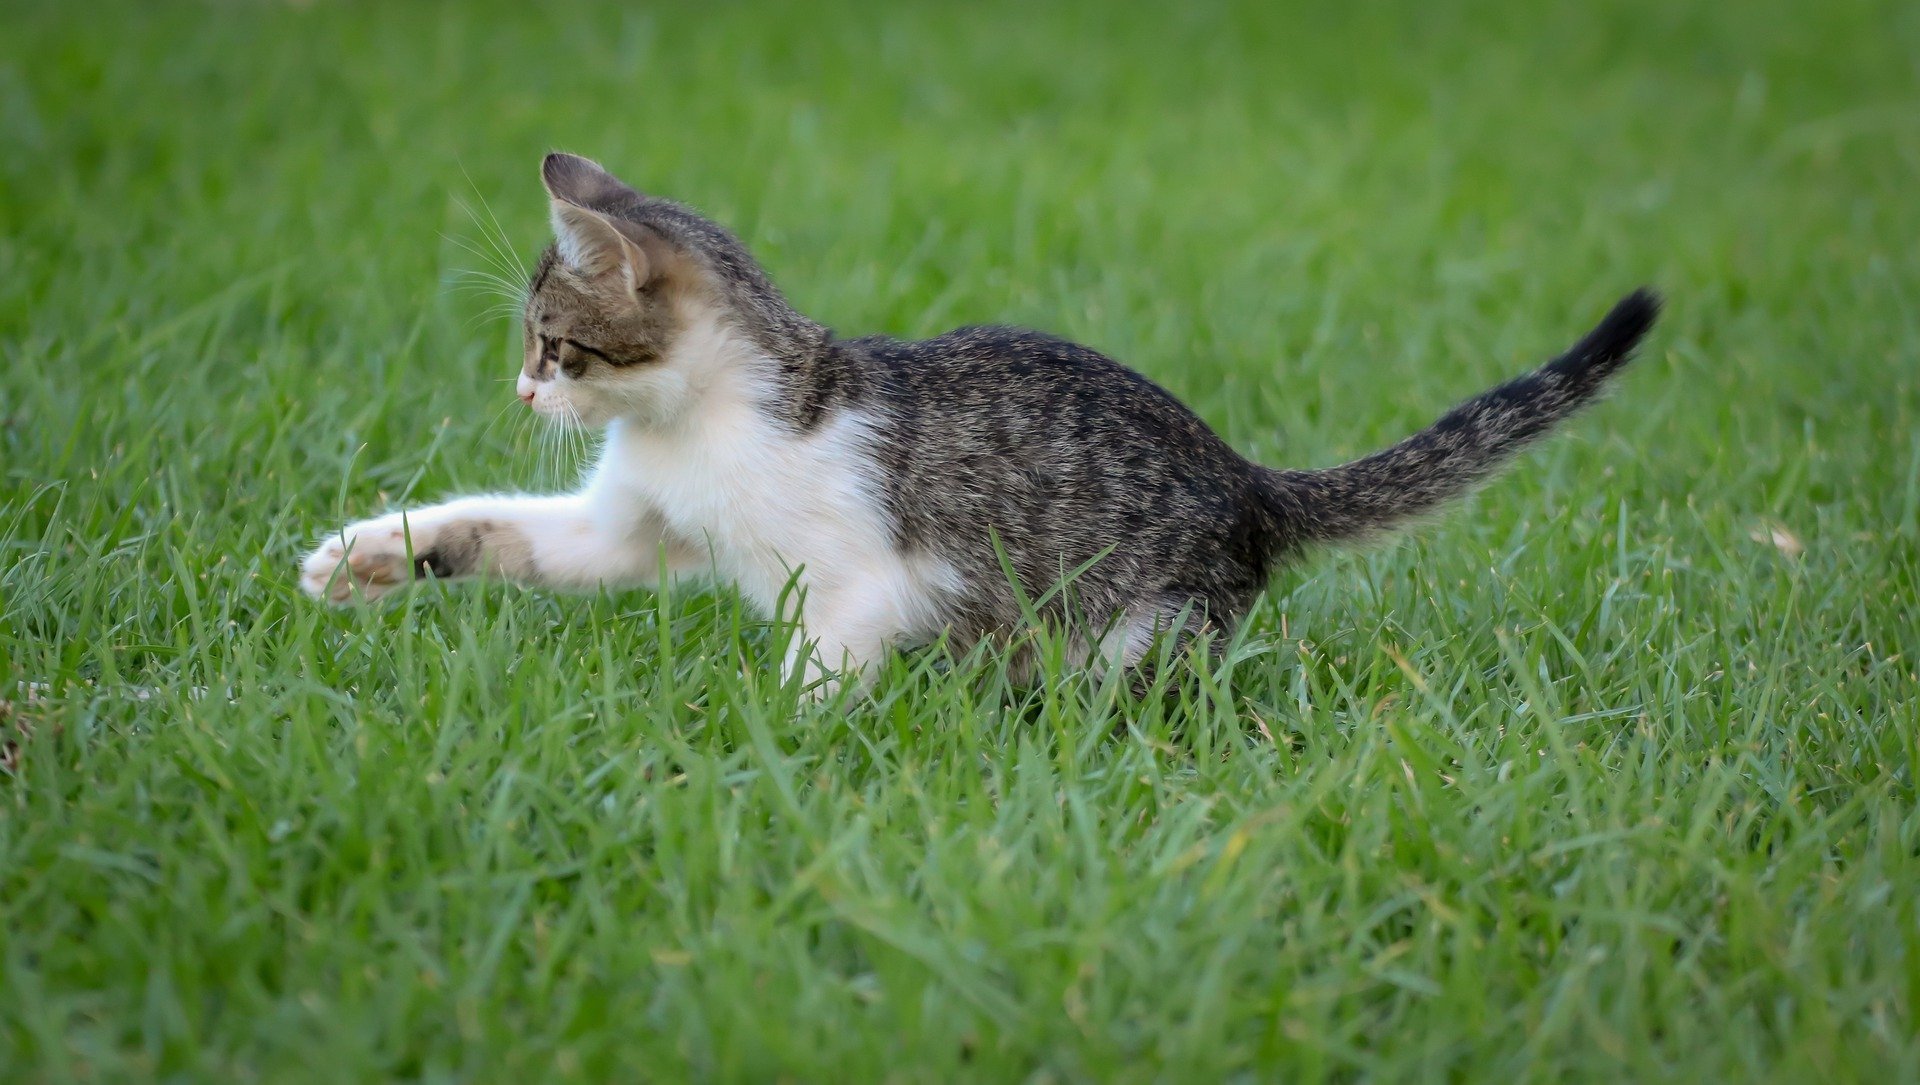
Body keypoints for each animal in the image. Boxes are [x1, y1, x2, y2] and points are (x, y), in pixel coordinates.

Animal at [299, 149, 1651, 695]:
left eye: (550, 341)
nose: (523, 391)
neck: (698, 423)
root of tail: (1249, 478)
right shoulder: (629, 524)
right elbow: (517, 533)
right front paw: (374, 555)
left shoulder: (858, 581)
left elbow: (820, 667)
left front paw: (764, 752)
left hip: (1131, 624)